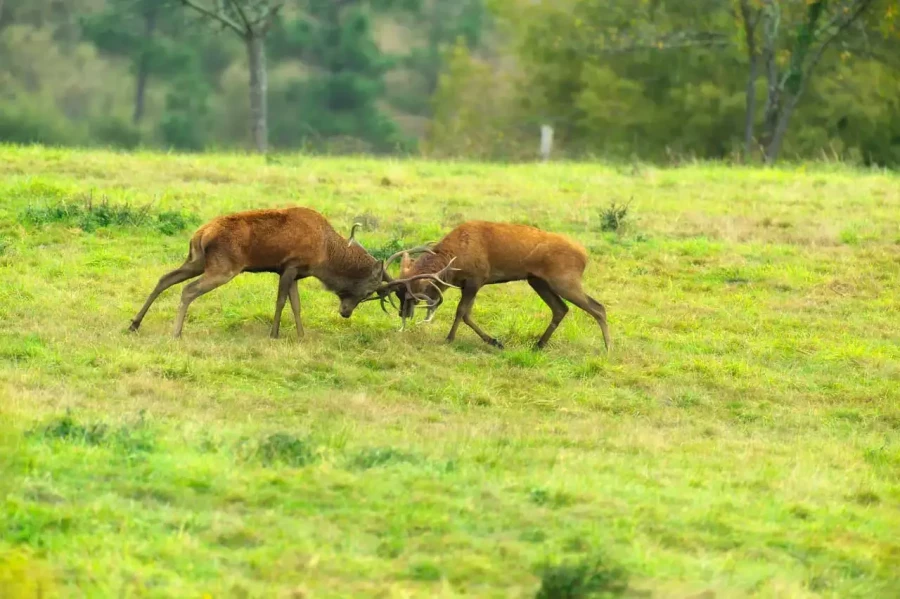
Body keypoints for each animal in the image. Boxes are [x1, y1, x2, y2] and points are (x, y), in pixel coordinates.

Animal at [128, 207, 439, 339]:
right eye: (367, 292)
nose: (346, 313)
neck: (325, 253)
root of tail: (201, 233)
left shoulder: (296, 273)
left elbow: (296, 305)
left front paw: (301, 335)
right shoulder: (290, 265)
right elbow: (281, 302)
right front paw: (275, 333)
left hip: (195, 260)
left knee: (165, 279)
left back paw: (134, 324)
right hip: (223, 267)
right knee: (187, 290)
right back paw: (176, 332)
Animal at [379, 221, 611, 352]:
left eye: (413, 294)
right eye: (398, 294)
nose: (404, 314)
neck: (455, 261)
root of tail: (585, 255)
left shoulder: (476, 279)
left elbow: (461, 312)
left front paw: (450, 338)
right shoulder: (469, 284)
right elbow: (467, 314)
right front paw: (494, 341)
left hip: (564, 280)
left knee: (598, 307)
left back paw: (608, 348)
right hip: (537, 281)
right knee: (561, 309)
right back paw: (538, 345)